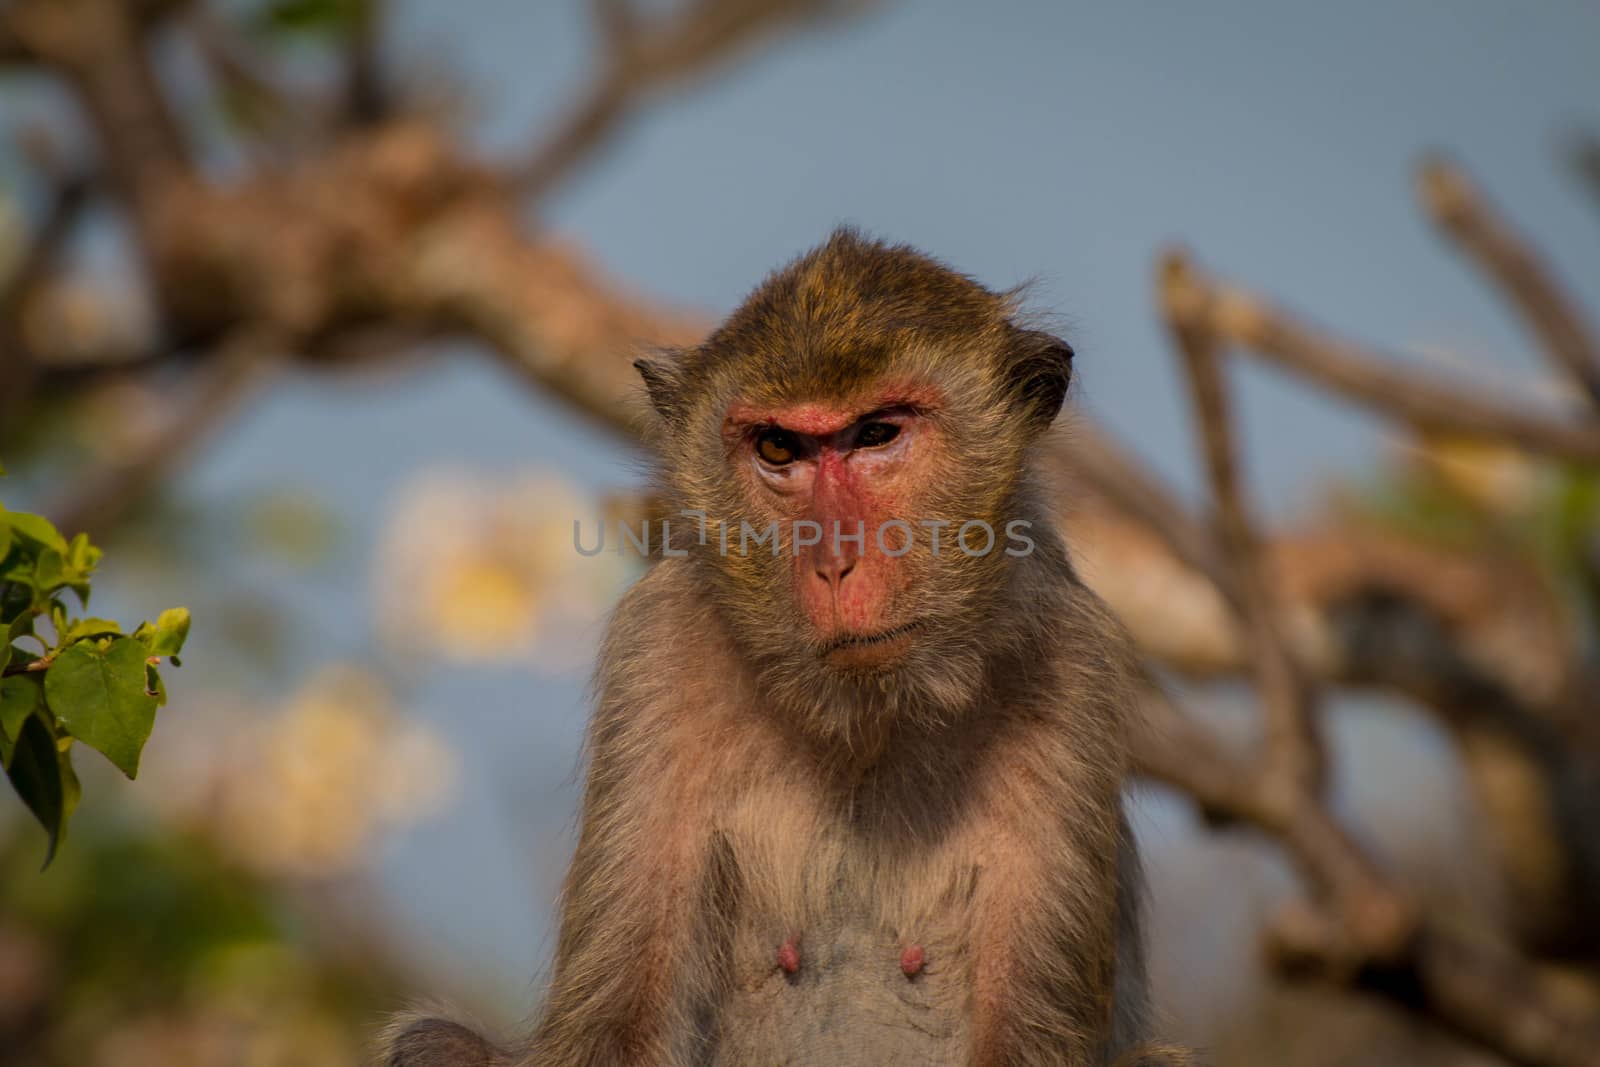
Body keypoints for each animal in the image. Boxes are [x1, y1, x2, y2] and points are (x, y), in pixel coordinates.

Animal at [380, 230, 1196, 1062]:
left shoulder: (1075, 666)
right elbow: (613, 1028)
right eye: (778, 448)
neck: (869, 721)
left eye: (877, 434)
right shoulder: (662, 643)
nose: (833, 562)